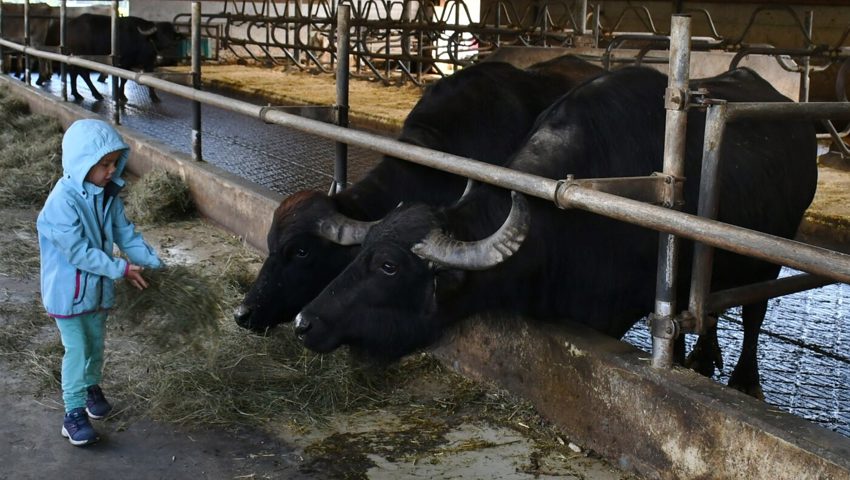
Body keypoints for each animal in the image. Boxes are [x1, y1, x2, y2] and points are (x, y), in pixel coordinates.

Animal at [294, 66, 820, 398]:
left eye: (388, 266)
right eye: (360, 253)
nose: (305, 322)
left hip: (770, 253)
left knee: (752, 313)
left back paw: (744, 379)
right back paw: (702, 358)